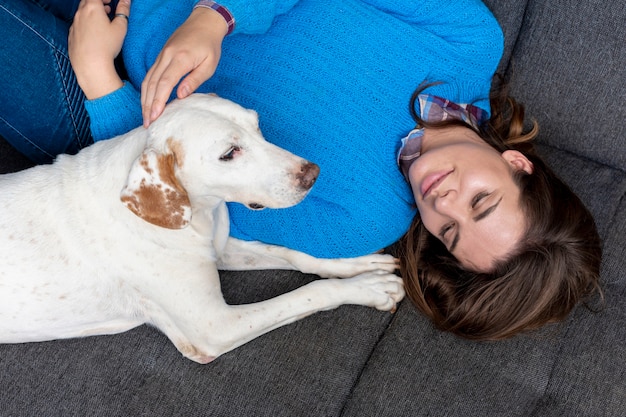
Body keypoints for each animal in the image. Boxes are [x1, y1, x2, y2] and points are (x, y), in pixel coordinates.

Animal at [0, 93, 402, 360]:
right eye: (229, 153)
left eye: (257, 125)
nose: (312, 174)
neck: (198, 215)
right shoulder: (214, 327)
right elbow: (309, 293)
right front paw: (368, 288)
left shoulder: (220, 248)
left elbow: (295, 255)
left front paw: (357, 265)